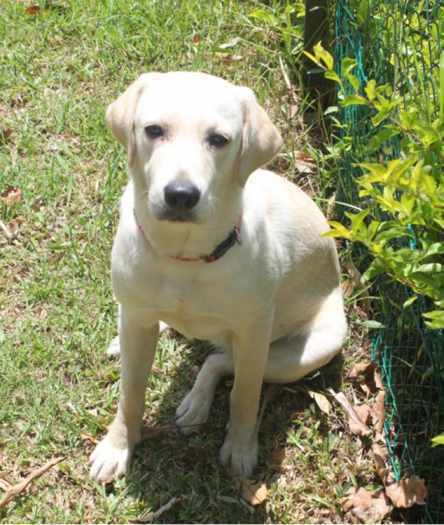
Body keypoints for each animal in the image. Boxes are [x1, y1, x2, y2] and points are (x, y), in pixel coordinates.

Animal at [89, 70, 346, 484]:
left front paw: (240, 448)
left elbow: (245, 394)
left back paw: (197, 401)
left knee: (221, 361)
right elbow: (130, 392)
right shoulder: (139, 320)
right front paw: (118, 444)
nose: (180, 195)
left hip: (309, 350)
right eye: (153, 130)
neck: (185, 257)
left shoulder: (254, 334)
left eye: (219, 140)